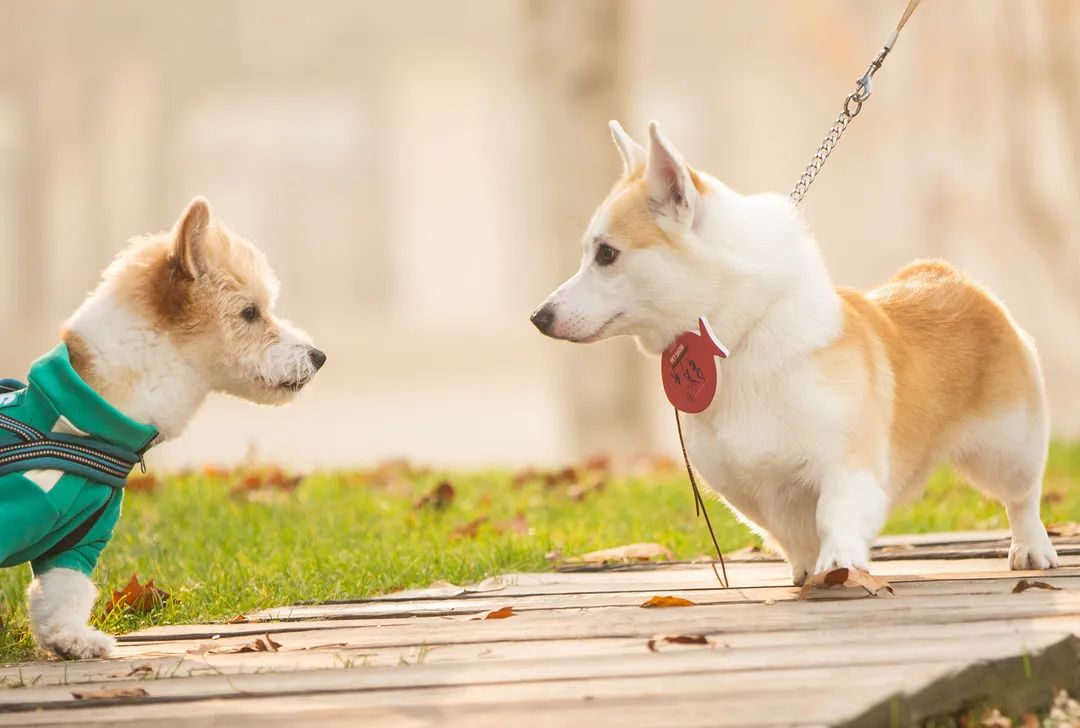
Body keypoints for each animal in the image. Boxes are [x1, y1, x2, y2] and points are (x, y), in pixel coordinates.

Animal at [0, 196, 324, 656]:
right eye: (249, 312)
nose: (319, 356)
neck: (72, 426)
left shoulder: (78, 542)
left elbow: (65, 593)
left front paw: (71, 639)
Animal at [535, 118, 1058, 583]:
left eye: (607, 254)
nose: (539, 317)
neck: (736, 338)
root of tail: (945, 275)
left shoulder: (847, 464)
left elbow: (833, 515)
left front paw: (839, 564)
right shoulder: (750, 489)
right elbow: (788, 532)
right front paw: (809, 570)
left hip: (1010, 443)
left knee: (1022, 497)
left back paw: (1032, 550)